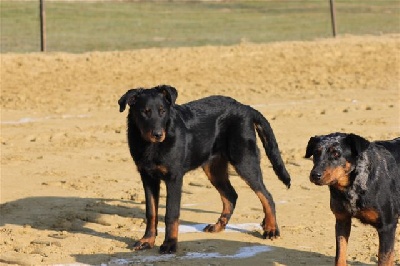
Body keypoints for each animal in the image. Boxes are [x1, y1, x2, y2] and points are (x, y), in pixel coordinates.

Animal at [118, 84, 290, 254]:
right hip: (213, 168)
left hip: (244, 160)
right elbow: (151, 212)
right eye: (145, 112)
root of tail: (245, 108)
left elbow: (171, 214)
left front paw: (169, 244)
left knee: (267, 196)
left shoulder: (174, 178)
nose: (158, 135)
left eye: (162, 111)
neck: (151, 146)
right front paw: (147, 241)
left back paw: (271, 229)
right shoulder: (148, 177)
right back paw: (218, 226)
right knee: (231, 195)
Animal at [304, 133, 398, 266]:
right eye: (316, 153)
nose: (315, 175)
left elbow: (384, 259)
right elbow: (340, 256)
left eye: (336, 154)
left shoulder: (387, 226)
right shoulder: (342, 220)